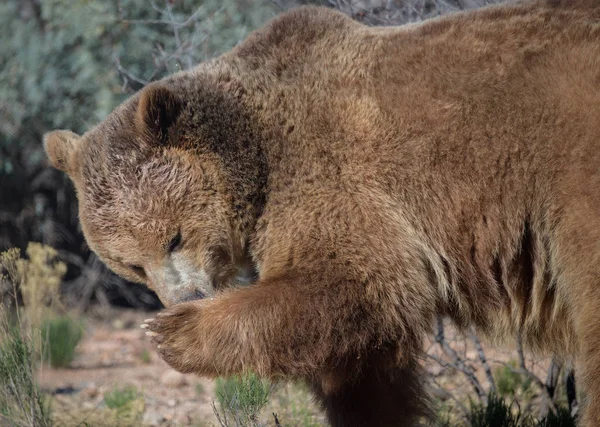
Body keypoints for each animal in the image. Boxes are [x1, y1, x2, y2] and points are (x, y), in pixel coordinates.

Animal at [44, 0, 600, 424]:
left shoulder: (331, 171)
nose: (185, 297)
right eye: (132, 265)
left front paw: (174, 332)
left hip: (572, 173)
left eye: (174, 237)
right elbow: (363, 366)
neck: (258, 156)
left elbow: (356, 282)